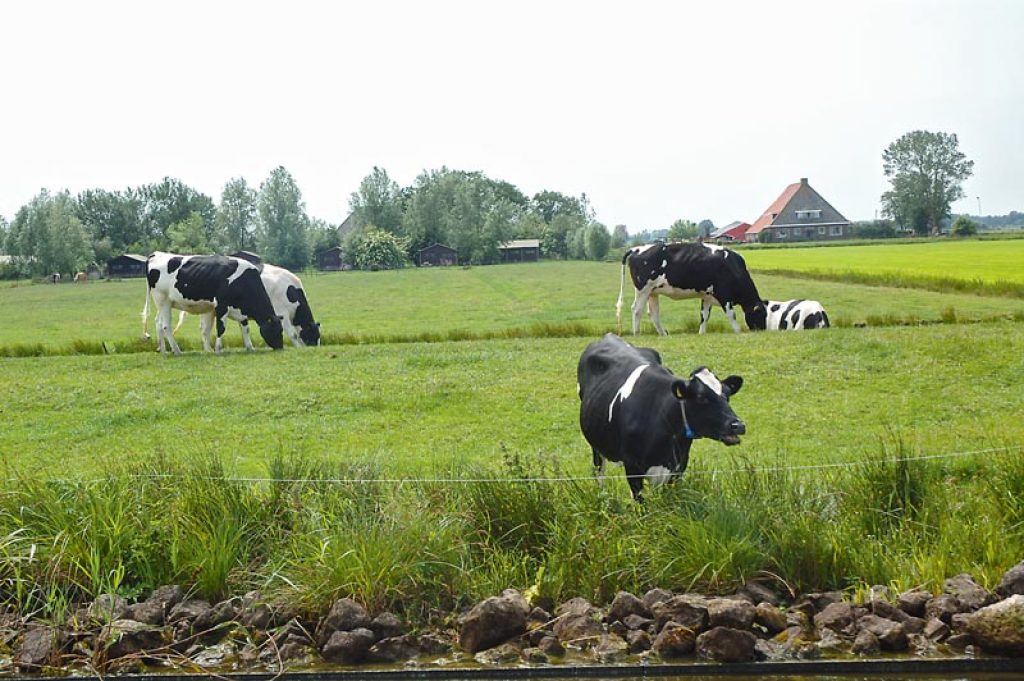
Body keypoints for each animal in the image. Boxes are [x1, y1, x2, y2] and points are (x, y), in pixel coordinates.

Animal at [141, 250, 284, 356]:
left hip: (162, 304)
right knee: (166, 326)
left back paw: (163, 351)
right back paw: (176, 350)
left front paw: (250, 347)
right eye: (276, 330)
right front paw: (218, 349)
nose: (280, 347)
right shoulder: (221, 305)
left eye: (281, 330)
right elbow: (220, 328)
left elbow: (244, 328)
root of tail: (156, 254)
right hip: (163, 300)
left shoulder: (239, 309)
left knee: (158, 323)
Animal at [174, 262, 319, 350]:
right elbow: (293, 334)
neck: (291, 290)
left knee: (205, 329)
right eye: (313, 335)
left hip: (210, 310)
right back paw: (208, 349)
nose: (316, 348)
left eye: (318, 336)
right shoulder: (281, 312)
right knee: (205, 329)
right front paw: (299, 347)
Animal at [577, 333, 745, 499]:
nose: (738, 425)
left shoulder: (679, 463)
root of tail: (610, 336)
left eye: (727, 395)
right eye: (701, 397)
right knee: (599, 470)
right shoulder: (632, 465)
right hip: (596, 444)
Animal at [610, 241, 765, 333]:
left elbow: (704, 316)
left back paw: (663, 334)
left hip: (653, 292)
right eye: (761, 314)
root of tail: (636, 248)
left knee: (653, 313)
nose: (763, 330)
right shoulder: (724, 293)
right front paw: (738, 332)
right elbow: (731, 314)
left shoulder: (707, 295)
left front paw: (701, 333)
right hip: (643, 289)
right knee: (637, 310)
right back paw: (637, 334)